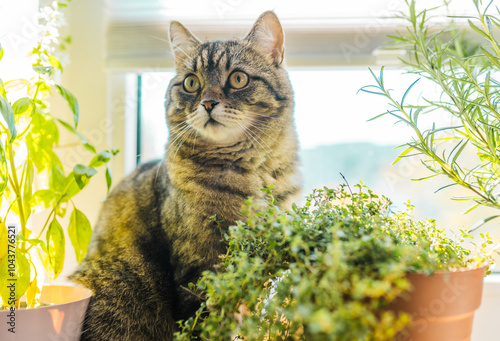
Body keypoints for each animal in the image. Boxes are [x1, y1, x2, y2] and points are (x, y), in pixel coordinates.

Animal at [70, 10, 300, 340]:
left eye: (238, 78)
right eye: (191, 83)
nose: (208, 103)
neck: (253, 174)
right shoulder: (199, 269)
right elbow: (205, 322)